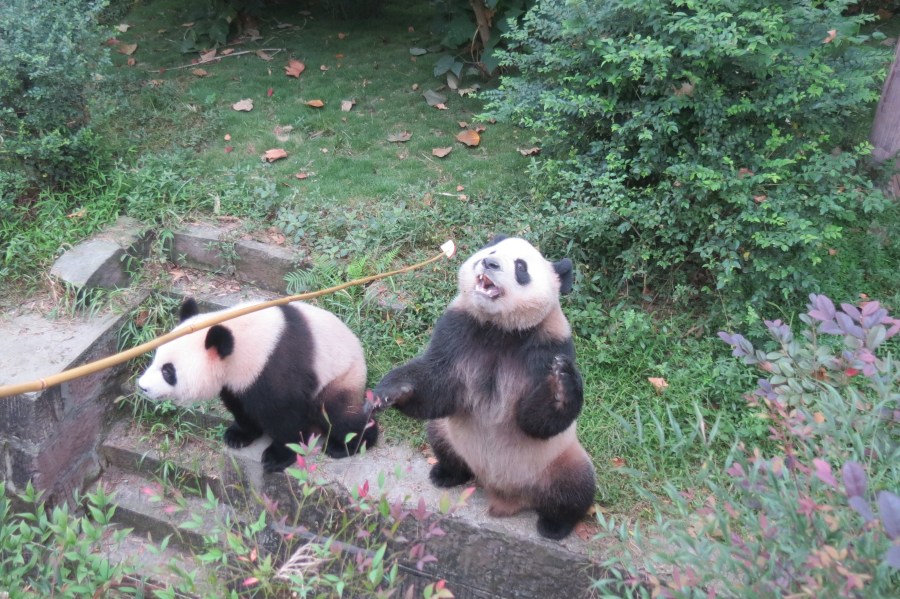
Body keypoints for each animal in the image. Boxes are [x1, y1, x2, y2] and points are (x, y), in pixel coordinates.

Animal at [138, 298, 377, 472]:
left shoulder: (275, 365)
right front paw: (238, 436)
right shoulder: (238, 380)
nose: (142, 386)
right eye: (155, 358)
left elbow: (285, 415)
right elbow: (240, 406)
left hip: (340, 376)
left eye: (168, 371)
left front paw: (276, 457)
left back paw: (348, 444)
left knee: (339, 414)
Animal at [371, 235, 596, 540]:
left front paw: (561, 383)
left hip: (558, 459)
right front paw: (392, 392)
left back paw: (554, 526)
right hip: (453, 435)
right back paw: (446, 474)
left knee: (576, 487)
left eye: (521, 267)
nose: (489, 263)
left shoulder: (548, 345)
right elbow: (438, 384)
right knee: (441, 437)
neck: (499, 327)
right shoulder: (459, 328)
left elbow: (536, 421)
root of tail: (505, 496)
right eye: (491, 251)